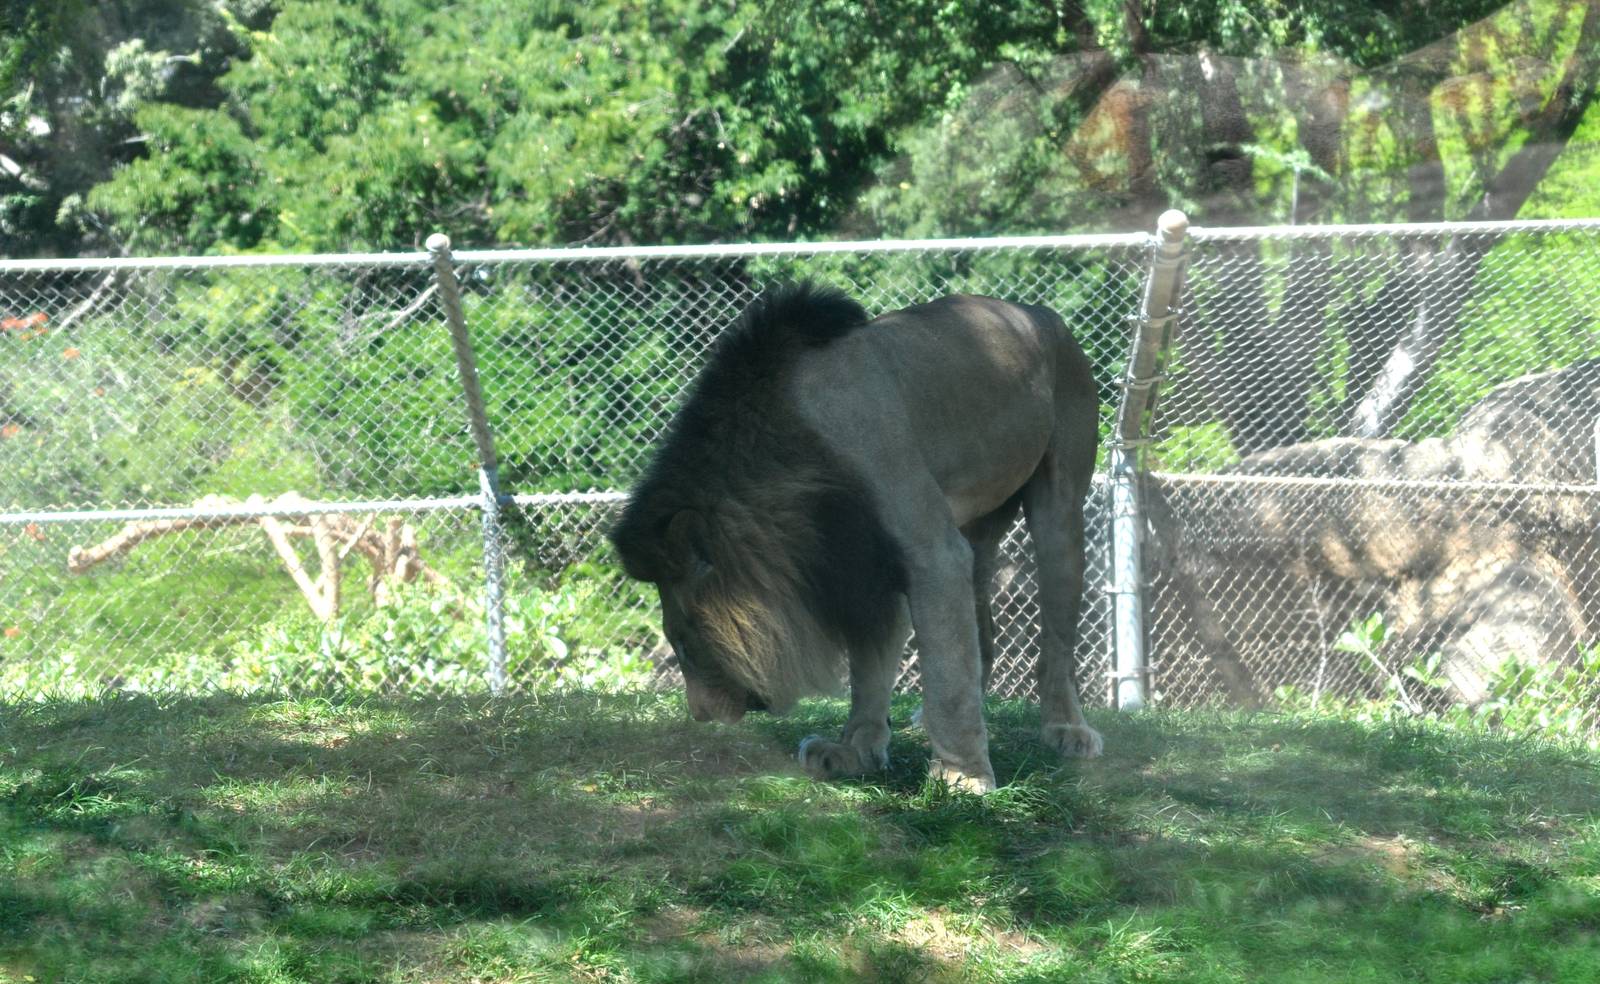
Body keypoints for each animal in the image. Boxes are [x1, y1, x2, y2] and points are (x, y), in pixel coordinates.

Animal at [608, 282, 1102, 792]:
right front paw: (853, 751)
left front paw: (962, 775)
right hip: (978, 521)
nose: (700, 715)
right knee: (982, 624)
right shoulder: (861, 566)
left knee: (1057, 642)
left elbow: (945, 671)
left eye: (683, 644)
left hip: (1060, 504)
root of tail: (1040, 312)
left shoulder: (930, 553)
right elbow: (871, 669)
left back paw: (1067, 729)